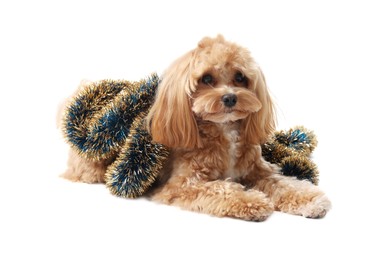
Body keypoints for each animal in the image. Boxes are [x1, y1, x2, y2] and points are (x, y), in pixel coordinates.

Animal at [62, 35, 332, 220]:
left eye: (240, 77)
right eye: (207, 79)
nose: (230, 98)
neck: (224, 131)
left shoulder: (259, 171)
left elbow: (285, 183)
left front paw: (309, 198)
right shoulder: (182, 185)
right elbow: (222, 188)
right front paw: (252, 200)